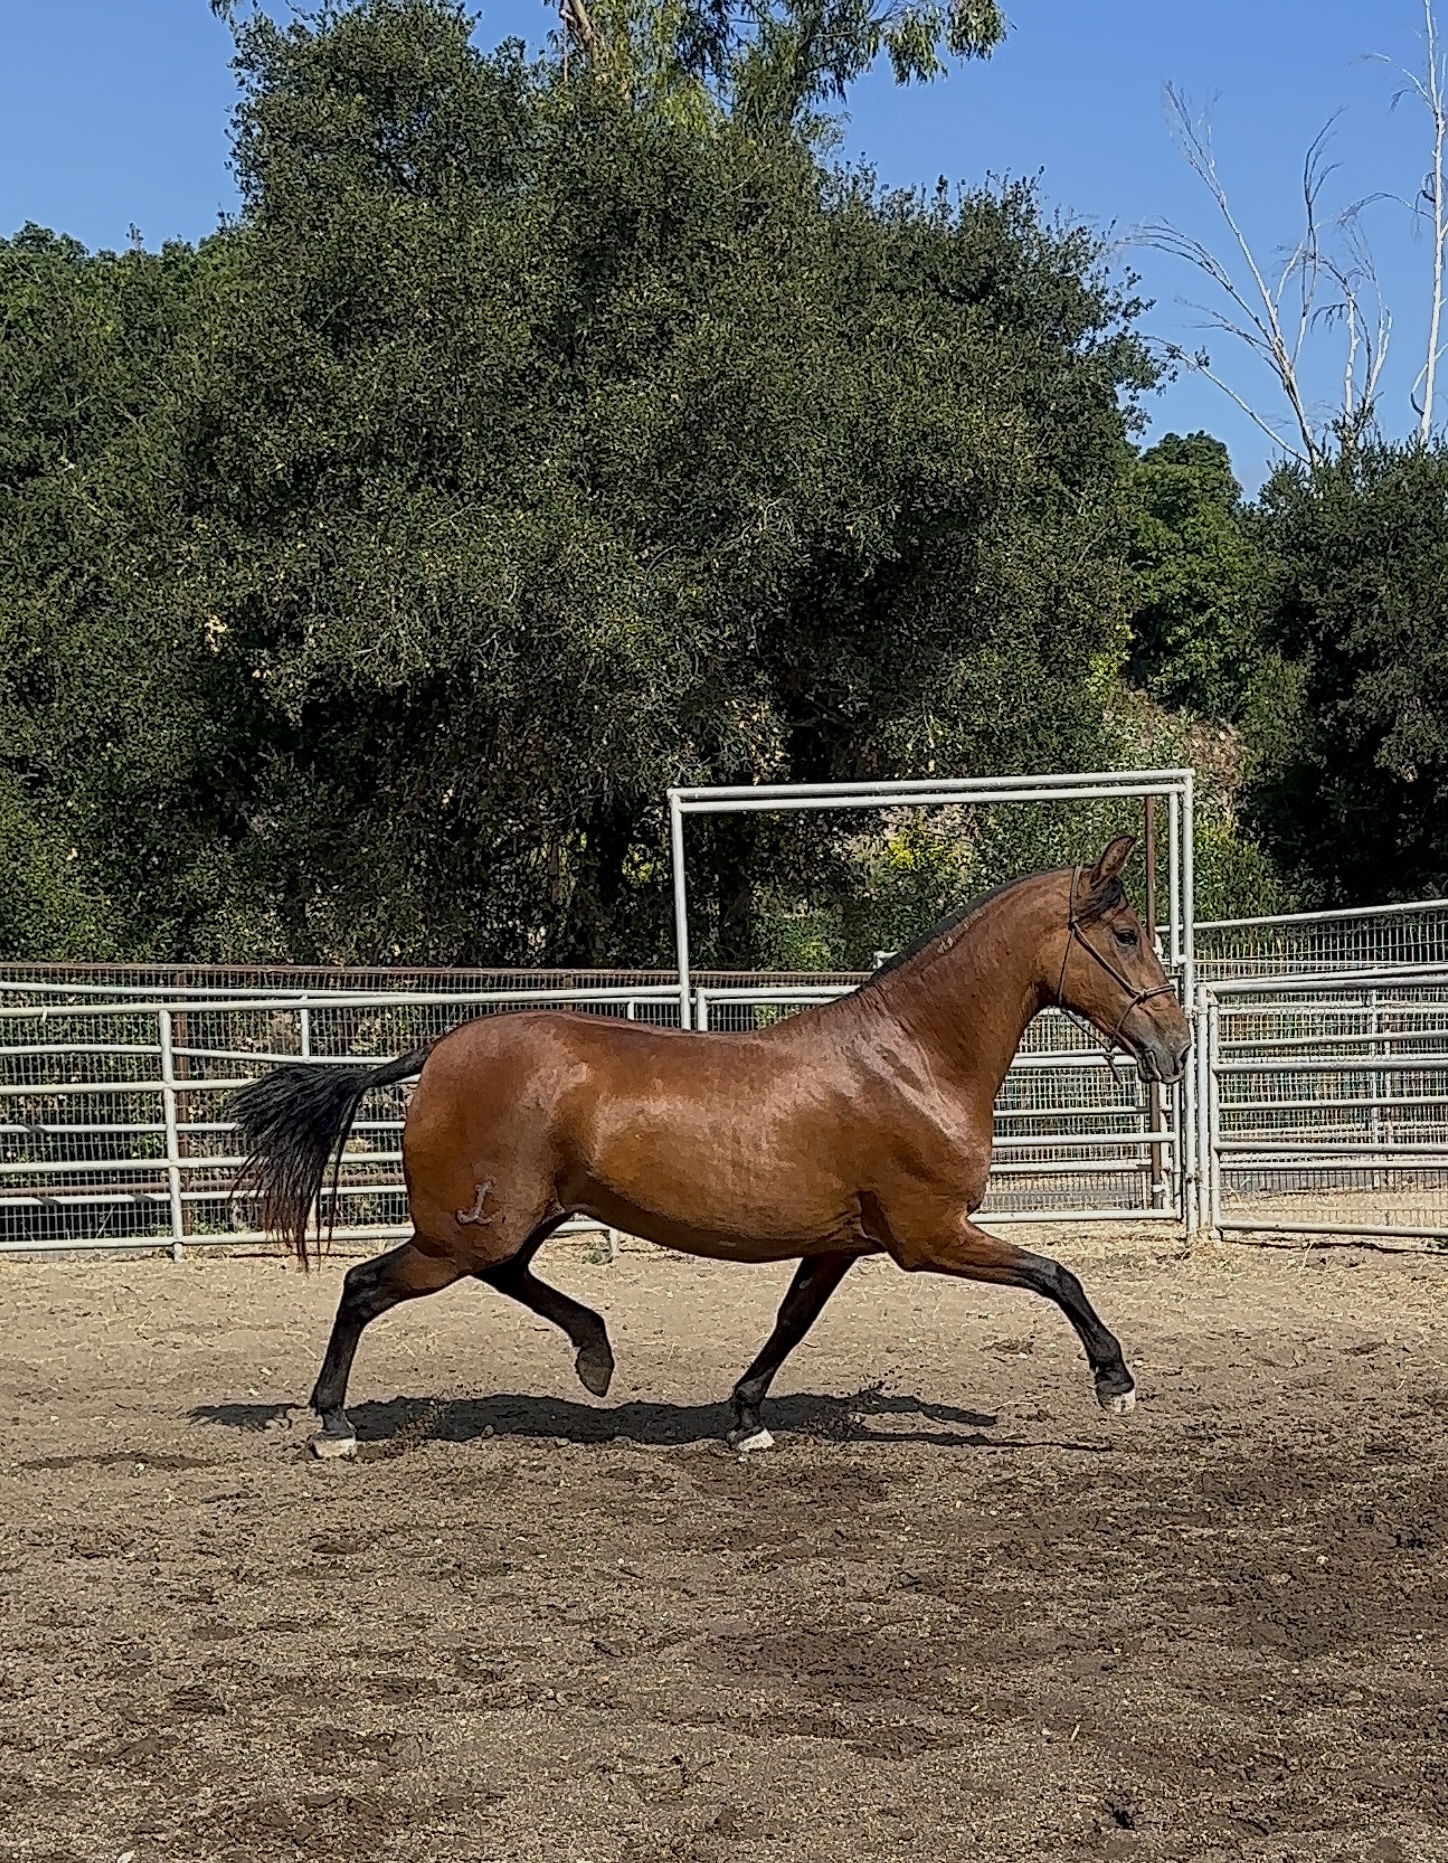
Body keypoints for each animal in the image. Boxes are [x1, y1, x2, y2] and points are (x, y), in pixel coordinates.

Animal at [232, 835, 1191, 1460]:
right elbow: (1056, 1274)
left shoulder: (838, 1243)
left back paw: (595, 1354)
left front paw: (745, 1416)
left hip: (514, 1219)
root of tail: (438, 1050)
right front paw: (1115, 1381)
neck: (910, 1057)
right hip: (465, 1230)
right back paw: (334, 1425)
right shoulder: (930, 1236)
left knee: (507, 1277)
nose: (1176, 1047)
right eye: (1126, 935)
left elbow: (791, 1321)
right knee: (365, 1287)